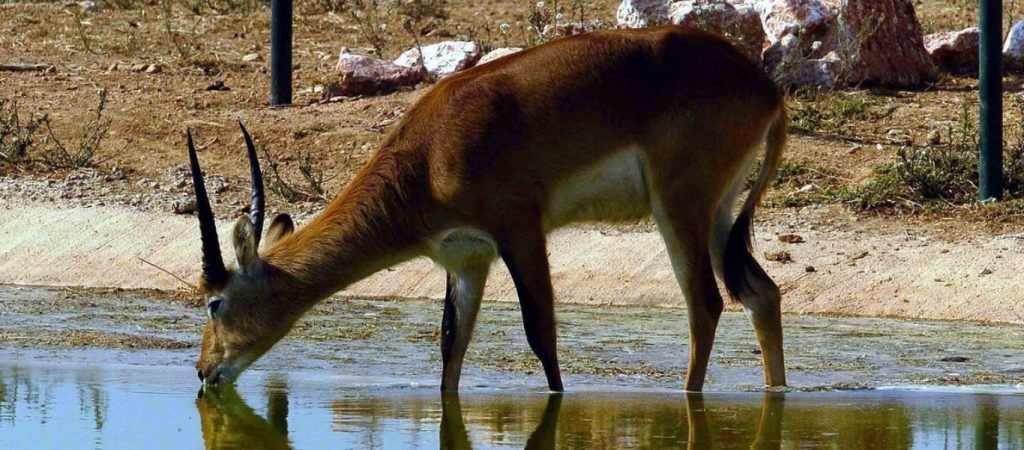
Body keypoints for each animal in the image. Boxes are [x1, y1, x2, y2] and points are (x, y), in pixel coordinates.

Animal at [190, 24, 782, 393]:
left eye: (214, 303)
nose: (202, 371)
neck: (428, 156)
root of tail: (766, 86)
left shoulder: (519, 230)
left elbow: (541, 335)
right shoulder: (466, 258)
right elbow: (451, 348)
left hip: (678, 207)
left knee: (706, 305)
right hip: (718, 213)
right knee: (762, 293)